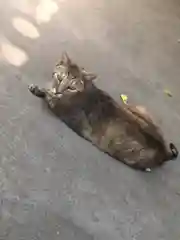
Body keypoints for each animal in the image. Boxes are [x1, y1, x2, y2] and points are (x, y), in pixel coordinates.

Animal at [28, 53, 179, 172]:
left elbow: (50, 98)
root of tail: (164, 150)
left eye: (71, 87)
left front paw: (44, 91)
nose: (58, 91)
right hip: (137, 107)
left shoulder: (73, 117)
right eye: (59, 78)